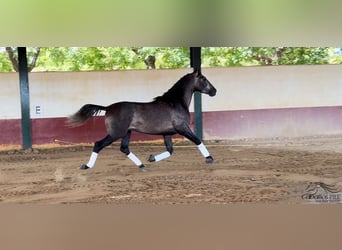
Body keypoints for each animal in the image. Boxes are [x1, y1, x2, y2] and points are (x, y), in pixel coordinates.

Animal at [67, 70, 216, 171]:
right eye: (203, 79)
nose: (214, 91)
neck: (175, 102)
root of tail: (108, 107)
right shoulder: (182, 128)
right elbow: (197, 140)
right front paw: (209, 158)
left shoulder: (167, 133)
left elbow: (170, 150)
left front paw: (151, 158)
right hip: (116, 133)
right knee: (98, 144)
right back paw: (86, 166)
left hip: (127, 132)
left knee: (124, 148)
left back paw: (142, 165)